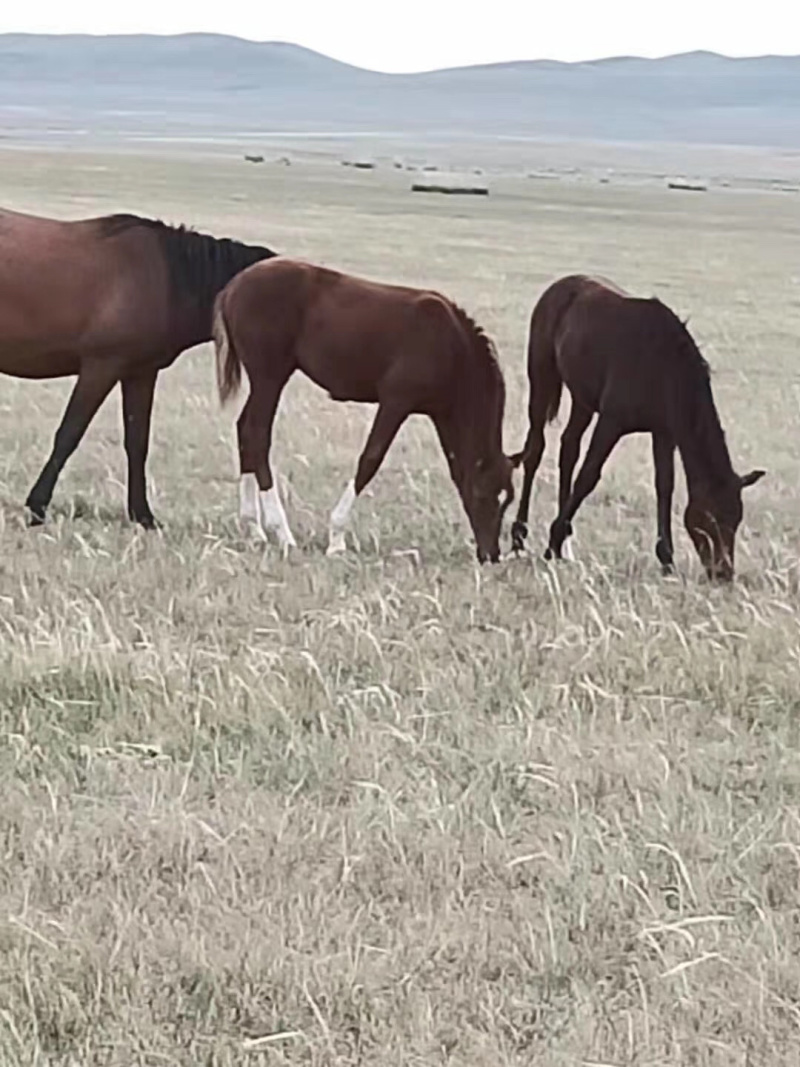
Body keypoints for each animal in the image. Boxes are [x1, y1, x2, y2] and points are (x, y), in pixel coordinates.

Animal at [0, 207, 276, 527]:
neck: (167, 279)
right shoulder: (100, 367)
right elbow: (69, 434)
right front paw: (37, 507)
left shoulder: (140, 373)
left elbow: (137, 441)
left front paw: (142, 515)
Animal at [211, 257, 520, 562]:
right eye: (483, 494)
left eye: (507, 499)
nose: (491, 554)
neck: (451, 345)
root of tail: (233, 287)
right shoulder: (396, 402)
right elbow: (371, 459)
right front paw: (336, 539)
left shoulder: (442, 415)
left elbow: (456, 468)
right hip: (270, 377)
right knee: (257, 435)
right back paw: (282, 532)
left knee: (244, 431)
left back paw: (254, 528)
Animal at [509, 275, 765, 581]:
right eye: (711, 517)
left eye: (737, 519)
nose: (723, 573)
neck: (664, 366)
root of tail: (558, 286)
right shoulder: (611, 422)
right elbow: (588, 477)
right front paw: (552, 541)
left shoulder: (664, 433)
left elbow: (665, 485)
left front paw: (667, 560)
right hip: (542, 377)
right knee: (536, 449)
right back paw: (519, 536)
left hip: (583, 400)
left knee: (568, 448)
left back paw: (567, 545)